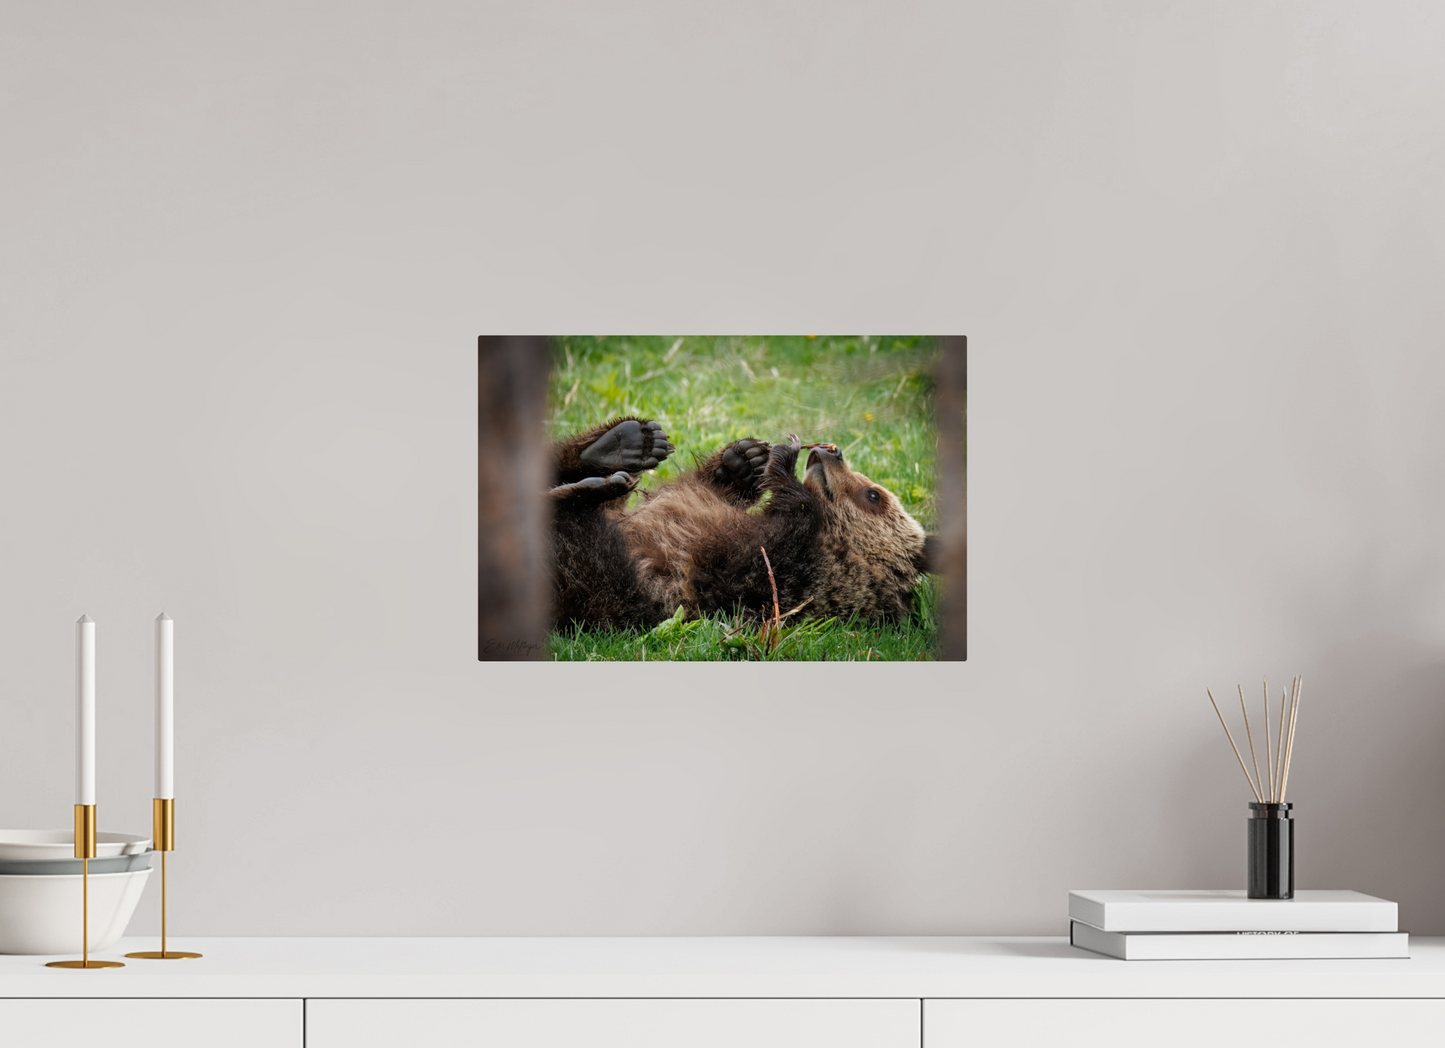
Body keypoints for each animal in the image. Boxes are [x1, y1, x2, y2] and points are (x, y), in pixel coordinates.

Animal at [547, 416, 937, 631]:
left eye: (874, 495)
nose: (832, 451)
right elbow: (702, 491)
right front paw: (744, 461)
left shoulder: (757, 576)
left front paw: (783, 458)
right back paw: (623, 445)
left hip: (597, 581)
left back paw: (592, 486)